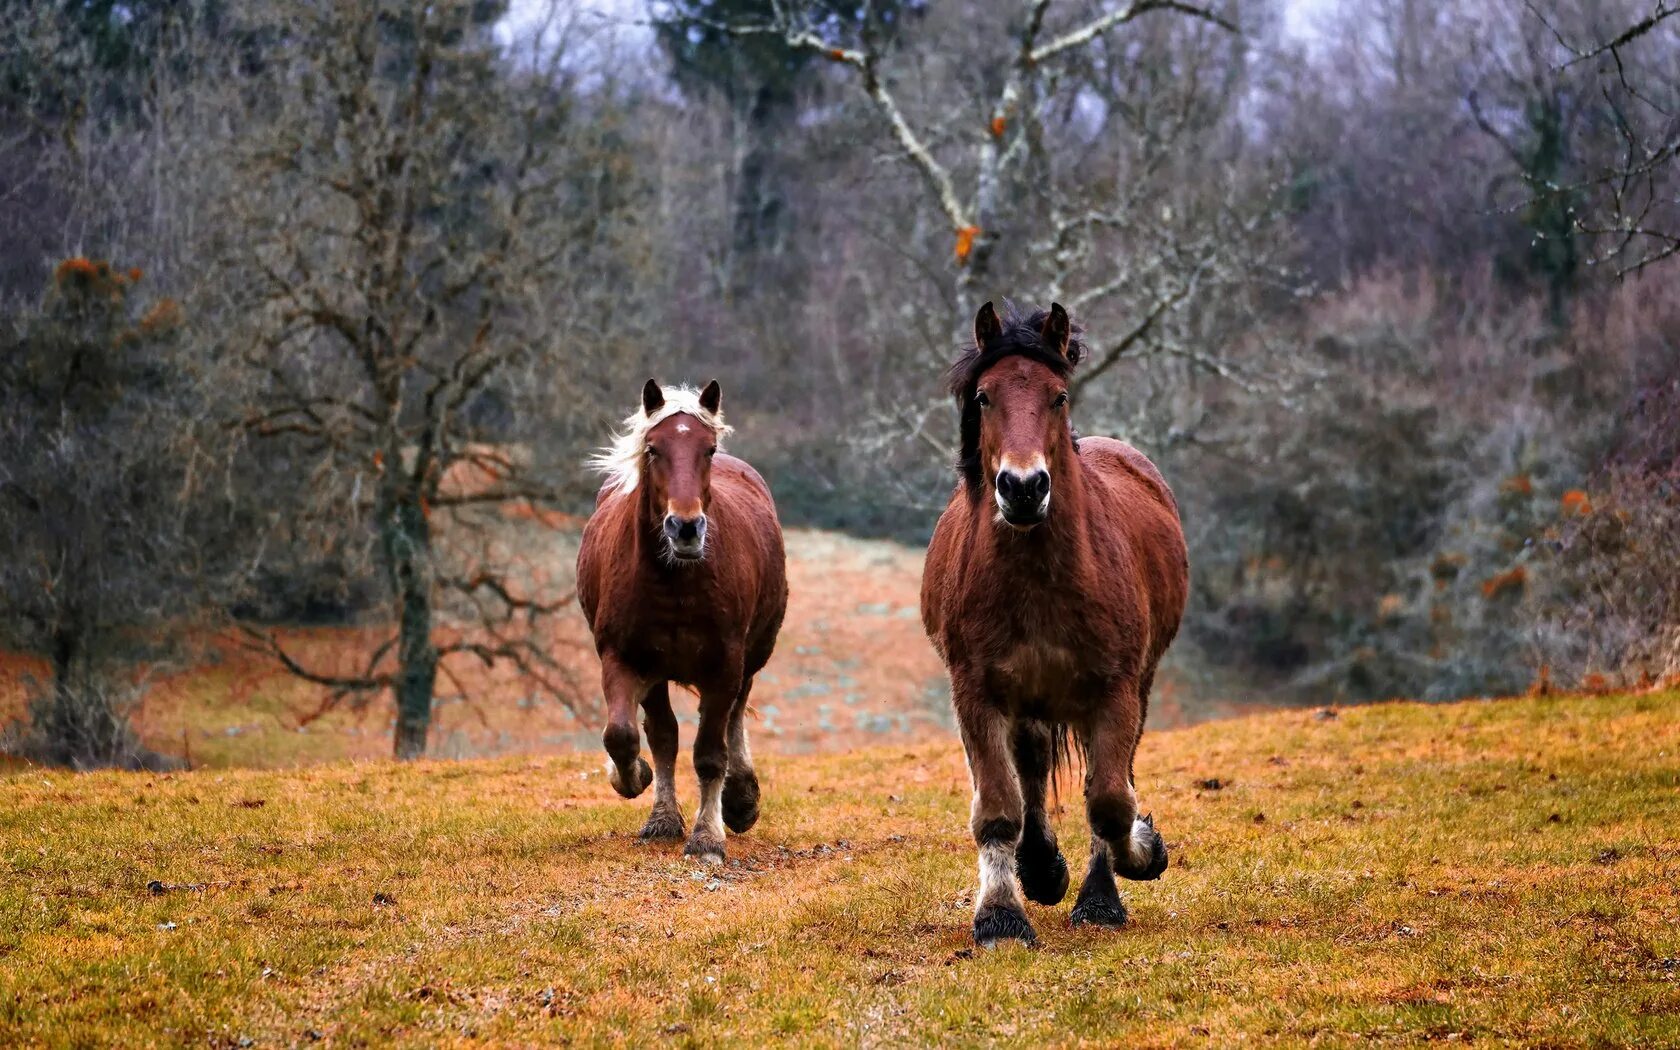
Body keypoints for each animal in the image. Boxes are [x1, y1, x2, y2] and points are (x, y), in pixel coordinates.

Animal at [577, 381, 786, 866]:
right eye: (653, 448)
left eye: (708, 449)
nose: (685, 528)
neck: (674, 582)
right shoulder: (625, 659)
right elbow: (627, 736)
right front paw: (638, 786)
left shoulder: (724, 666)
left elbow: (710, 753)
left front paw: (708, 838)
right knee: (663, 734)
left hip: (751, 657)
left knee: (734, 719)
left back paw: (740, 799)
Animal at [927, 299, 1189, 947]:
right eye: (984, 397)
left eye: (1058, 396)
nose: (1023, 488)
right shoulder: (976, 693)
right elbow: (999, 807)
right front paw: (1001, 915)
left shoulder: (1116, 690)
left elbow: (1111, 801)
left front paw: (1132, 864)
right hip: (1028, 700)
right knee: (1032, 771)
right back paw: (1040, 868)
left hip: (1132, 687)